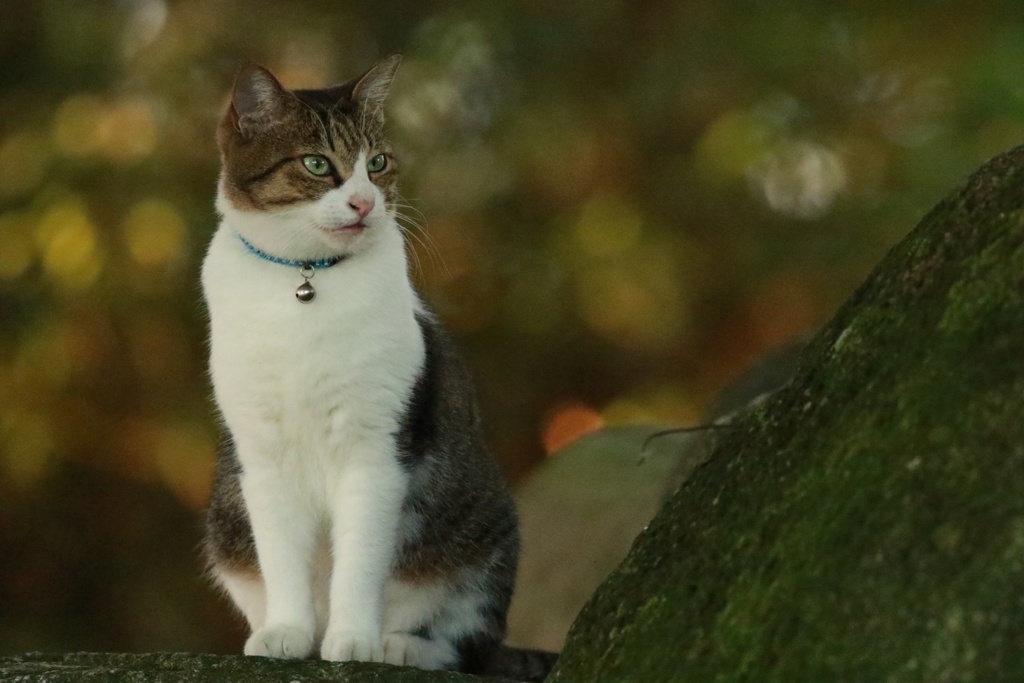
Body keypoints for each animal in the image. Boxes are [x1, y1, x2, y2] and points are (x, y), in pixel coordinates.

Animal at [197, 56, 536, 675]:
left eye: (376, 163)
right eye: (316, 163)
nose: (364, 203)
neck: (305, 280)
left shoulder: (376, 446)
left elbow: (360, 559)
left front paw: (354, 640)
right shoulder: (262, 456)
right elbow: (281, 556)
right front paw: (287, 632)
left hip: (485, 536)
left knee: (469, 641)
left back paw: (400, 646)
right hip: (226, 523)